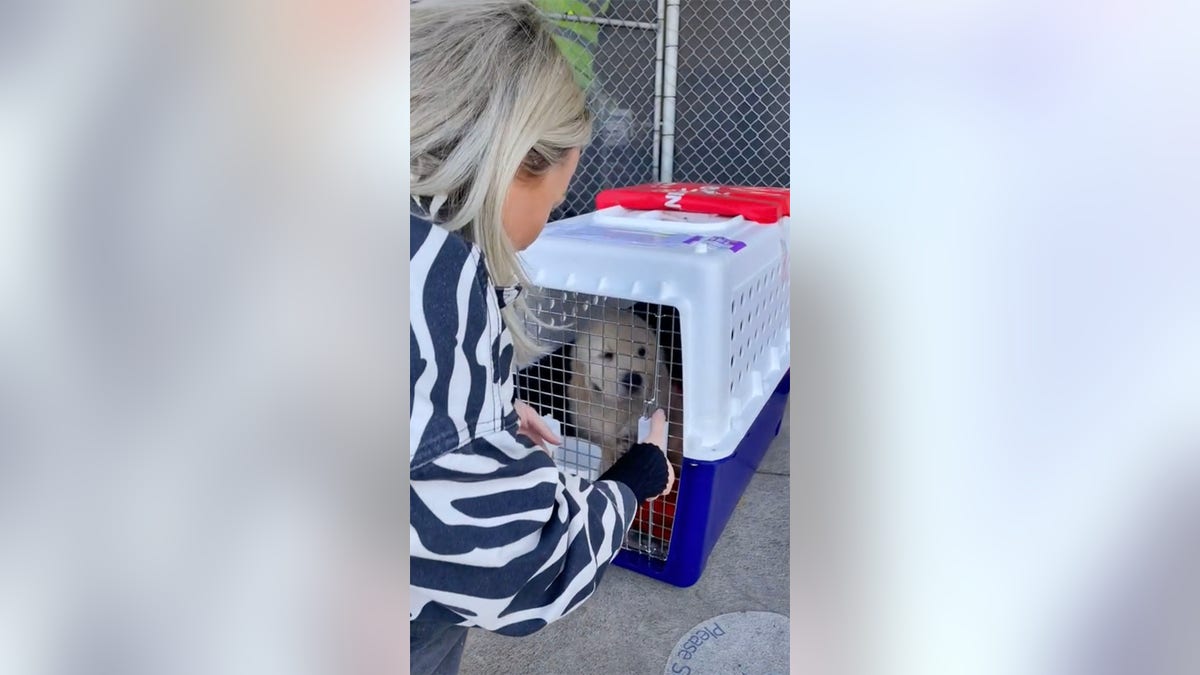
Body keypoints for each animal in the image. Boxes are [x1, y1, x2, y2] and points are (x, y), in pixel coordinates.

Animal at [516, 289, 686, 557]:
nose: (633, 378)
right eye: (607, 355)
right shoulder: (589, 419)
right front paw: (616, 449)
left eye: (642, 352)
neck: (617, 406)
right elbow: (604, 444)